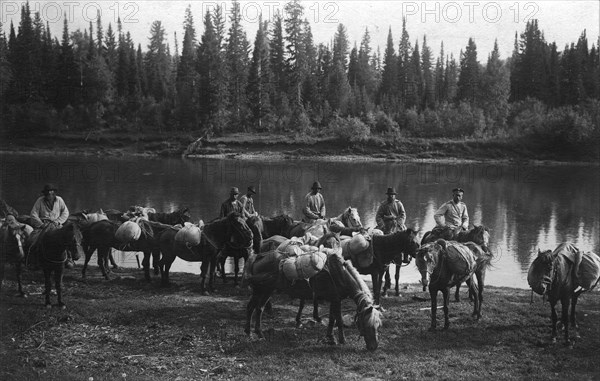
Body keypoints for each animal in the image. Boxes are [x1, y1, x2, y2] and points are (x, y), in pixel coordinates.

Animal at [245, 233, 382, 348]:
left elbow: (332, 319)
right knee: (251, 307)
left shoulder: (334, 299)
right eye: (367, 324)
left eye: (378, 325)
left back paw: (260, 333)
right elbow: (339, 319)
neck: (339, 274)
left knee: (260, 308)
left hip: (268, 290)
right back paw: (249, 333)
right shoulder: (336, 300)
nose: (374, 347)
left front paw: (331, 338)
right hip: (259, 290)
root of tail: (258, 257)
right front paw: (342, 340)